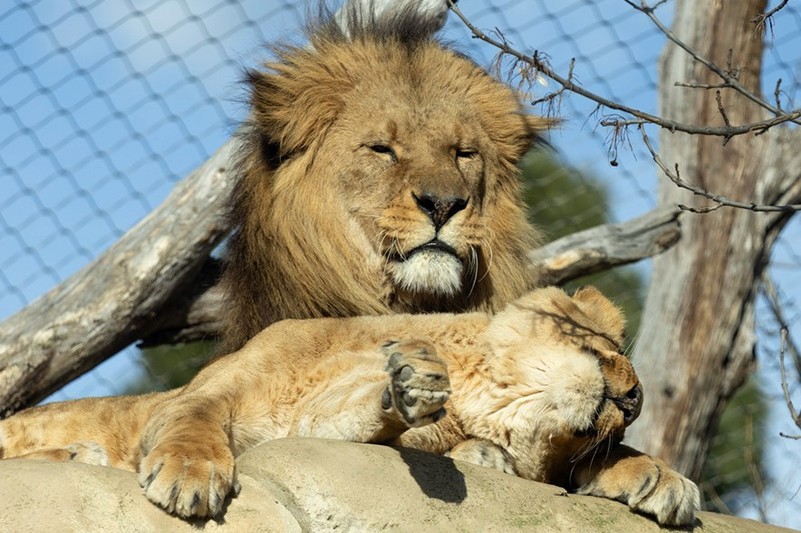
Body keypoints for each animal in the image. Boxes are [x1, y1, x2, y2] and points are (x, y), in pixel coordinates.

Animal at [0, 286, 696, 524]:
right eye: (608, 346)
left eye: (610, 427)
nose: (634, 399)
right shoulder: (213, 393)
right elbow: (193, 422)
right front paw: (192, 476)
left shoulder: (316, 428)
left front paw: (660, 478)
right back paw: (78, 454)